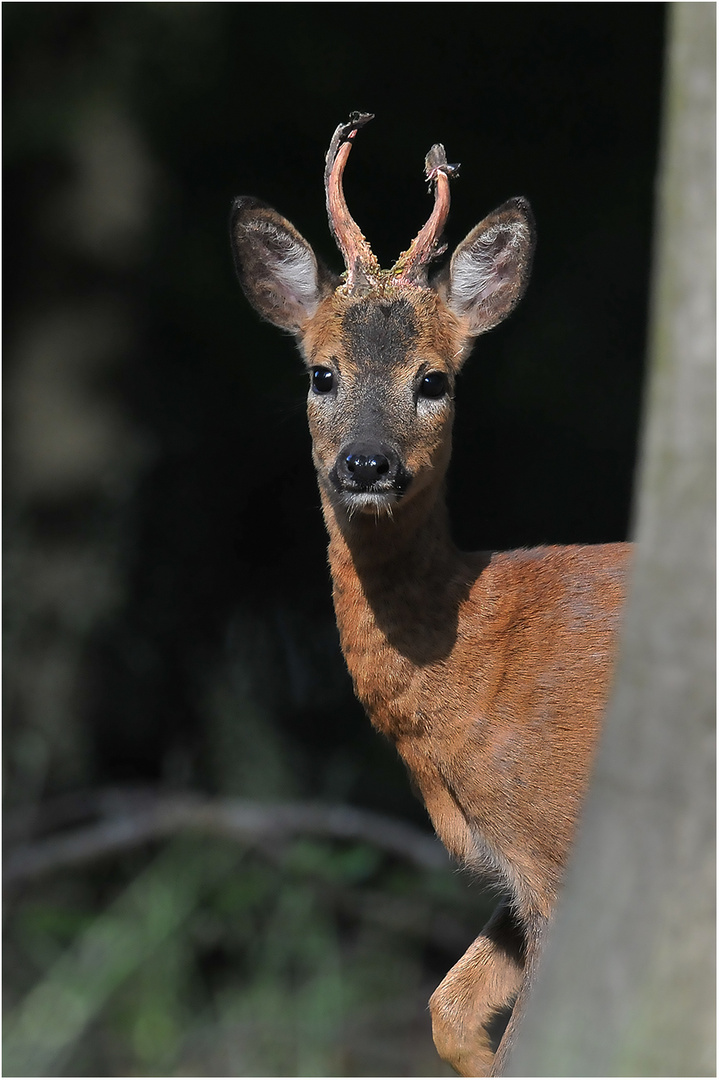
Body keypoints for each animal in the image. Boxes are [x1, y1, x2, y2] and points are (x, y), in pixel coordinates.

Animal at [229, 113, 626, 1075]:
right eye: (321, 373)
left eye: (433, 379)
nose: (366, 465)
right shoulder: (516, 870)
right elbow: (448, 1007)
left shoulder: (560, 843)